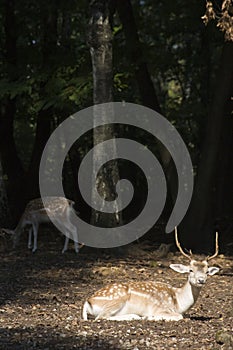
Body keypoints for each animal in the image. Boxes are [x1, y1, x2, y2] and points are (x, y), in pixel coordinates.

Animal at [83, 228, 219, 322]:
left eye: (207, 271)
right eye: (190, 270)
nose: (201, 280)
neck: (178, 303)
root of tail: (88, 301)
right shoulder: (160, 308)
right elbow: (179, 316)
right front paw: (150, 317)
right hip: (117, 299)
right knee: (101, 317)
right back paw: (137, 316)